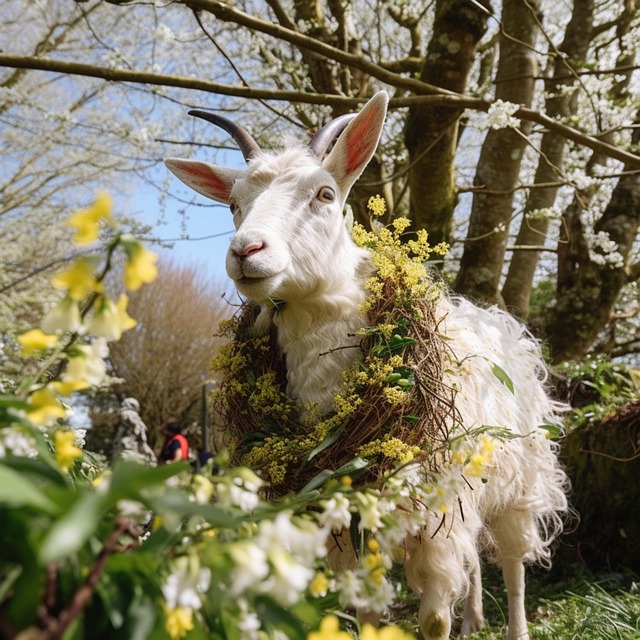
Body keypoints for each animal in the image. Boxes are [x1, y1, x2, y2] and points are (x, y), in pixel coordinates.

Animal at [165, 91, 568, 640]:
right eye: (233, 204)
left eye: (325, 194)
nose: (246, 251)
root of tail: (502, 324)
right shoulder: (350, 521)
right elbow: (371, 613)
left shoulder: (436, 516)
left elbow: (434, 618)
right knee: (477, 565)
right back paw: (474, 619)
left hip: (520, 481)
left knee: (511, 562)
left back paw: (514, 626)